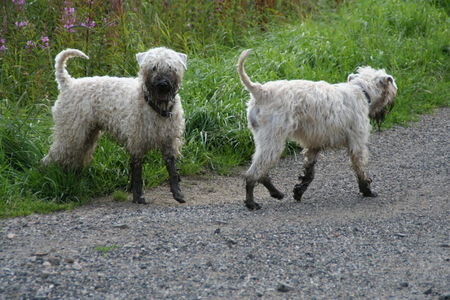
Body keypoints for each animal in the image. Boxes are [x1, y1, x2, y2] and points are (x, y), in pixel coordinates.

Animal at [43, 47, 187, 205]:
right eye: (153, 67)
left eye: (171, 67)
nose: (163, 85)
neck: (156, 107)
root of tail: (68, 84)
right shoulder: (137, 142)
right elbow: (138, 173)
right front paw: (138, 197)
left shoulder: (169, 141)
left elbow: (172, 170)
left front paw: (178, 194)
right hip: (70, 133)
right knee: (53, 156)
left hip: (87, 135)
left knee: (75, 157)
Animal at [237, 49, 396, 210]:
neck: (361, 90)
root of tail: (260, 91)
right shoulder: (357, 143)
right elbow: (360, 168)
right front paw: (367, 190)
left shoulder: (313, 145)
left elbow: (309, 172)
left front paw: (299, 191)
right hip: (273, 141)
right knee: (253, 173)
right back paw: (251, 202)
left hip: (265, 140)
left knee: (261, 172)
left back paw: (276, 193)